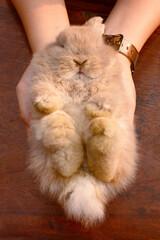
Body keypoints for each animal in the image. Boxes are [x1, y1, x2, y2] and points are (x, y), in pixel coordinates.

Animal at [27, 16, 138, 227]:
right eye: (61, 45)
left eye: (95, 47)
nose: (80, 61)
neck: (78, 83)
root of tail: (84, 177)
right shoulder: (40, 82)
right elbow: (43, 89)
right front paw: (46, 104)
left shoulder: (113, 90)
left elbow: (108, 97)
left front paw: (95, 108)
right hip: (45, 155)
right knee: (66, 167)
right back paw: (60, 128)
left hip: (124, 146)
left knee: (109, 172)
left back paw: (101, 130)